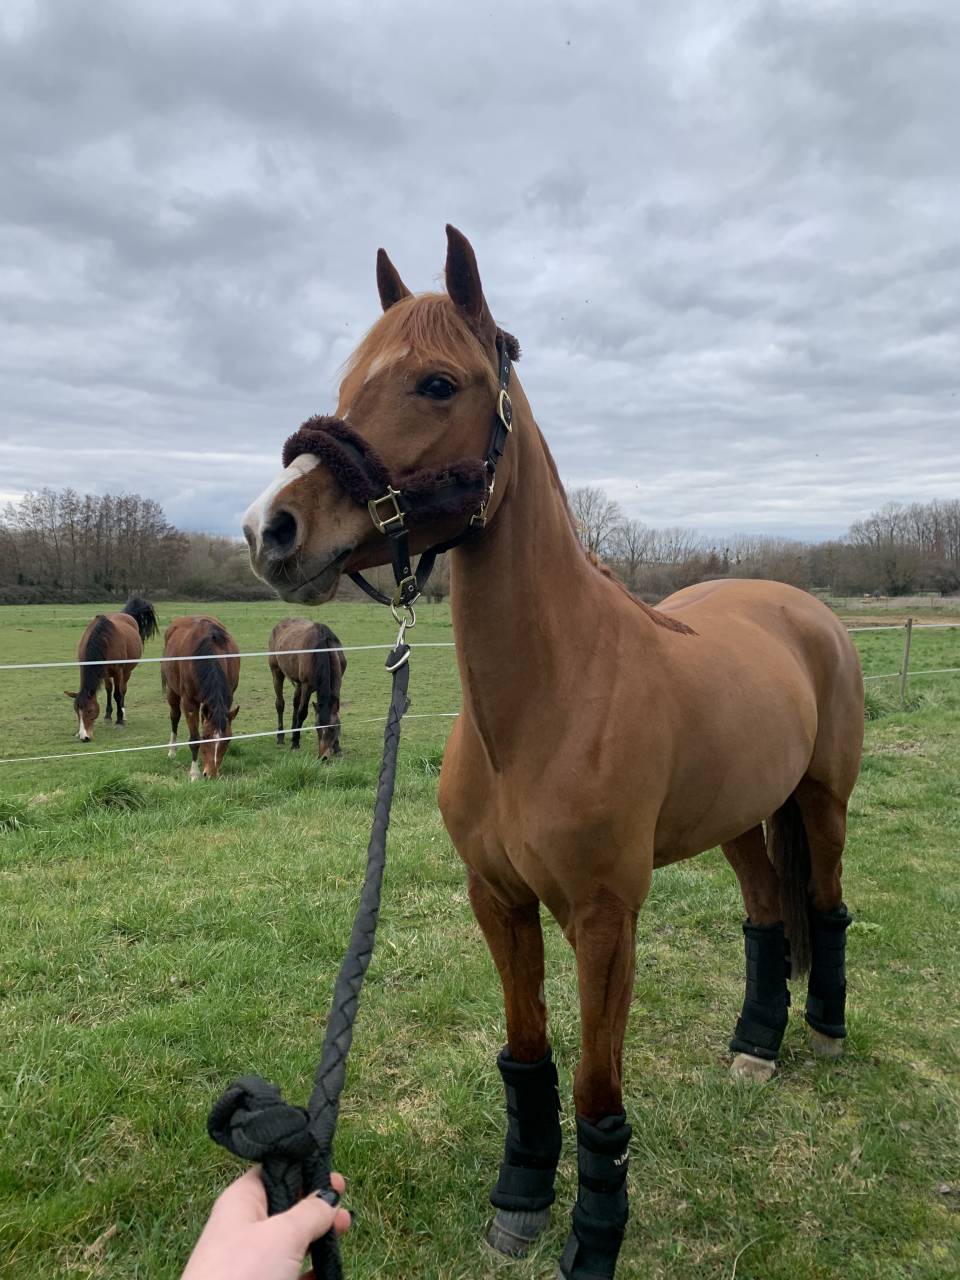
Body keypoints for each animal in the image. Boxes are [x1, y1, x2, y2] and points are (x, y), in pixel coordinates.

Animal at [64, 597, 158, 740]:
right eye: (76, 710)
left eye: (90, 710)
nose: (84, 737)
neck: (103, 640)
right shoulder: (103, 672)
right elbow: (109, 690)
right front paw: (107, 716)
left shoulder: (118, 671)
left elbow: (117, 694)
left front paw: (119, 720)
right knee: (110, 689)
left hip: (126, 672)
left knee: (123, 690)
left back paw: (123, 714)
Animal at [161, 616, 240, 780]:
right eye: (205, 736)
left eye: (228, 739)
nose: (211, 774)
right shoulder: (189, 702)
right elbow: (194, 738)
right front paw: (194, 774)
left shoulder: (228, 697)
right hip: (172, 691)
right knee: (174, 716)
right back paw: (172, 750)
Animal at [267, 618, 346, 759]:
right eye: (317, 727)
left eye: (333, 728)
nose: (323, 757)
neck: (323, 647)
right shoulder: (307, 686)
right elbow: (302, 712)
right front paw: (295, 743)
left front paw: (337, 747)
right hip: (277, 673)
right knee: (280, 704)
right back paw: (281, 736)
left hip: (298, 684)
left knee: (295, 703)